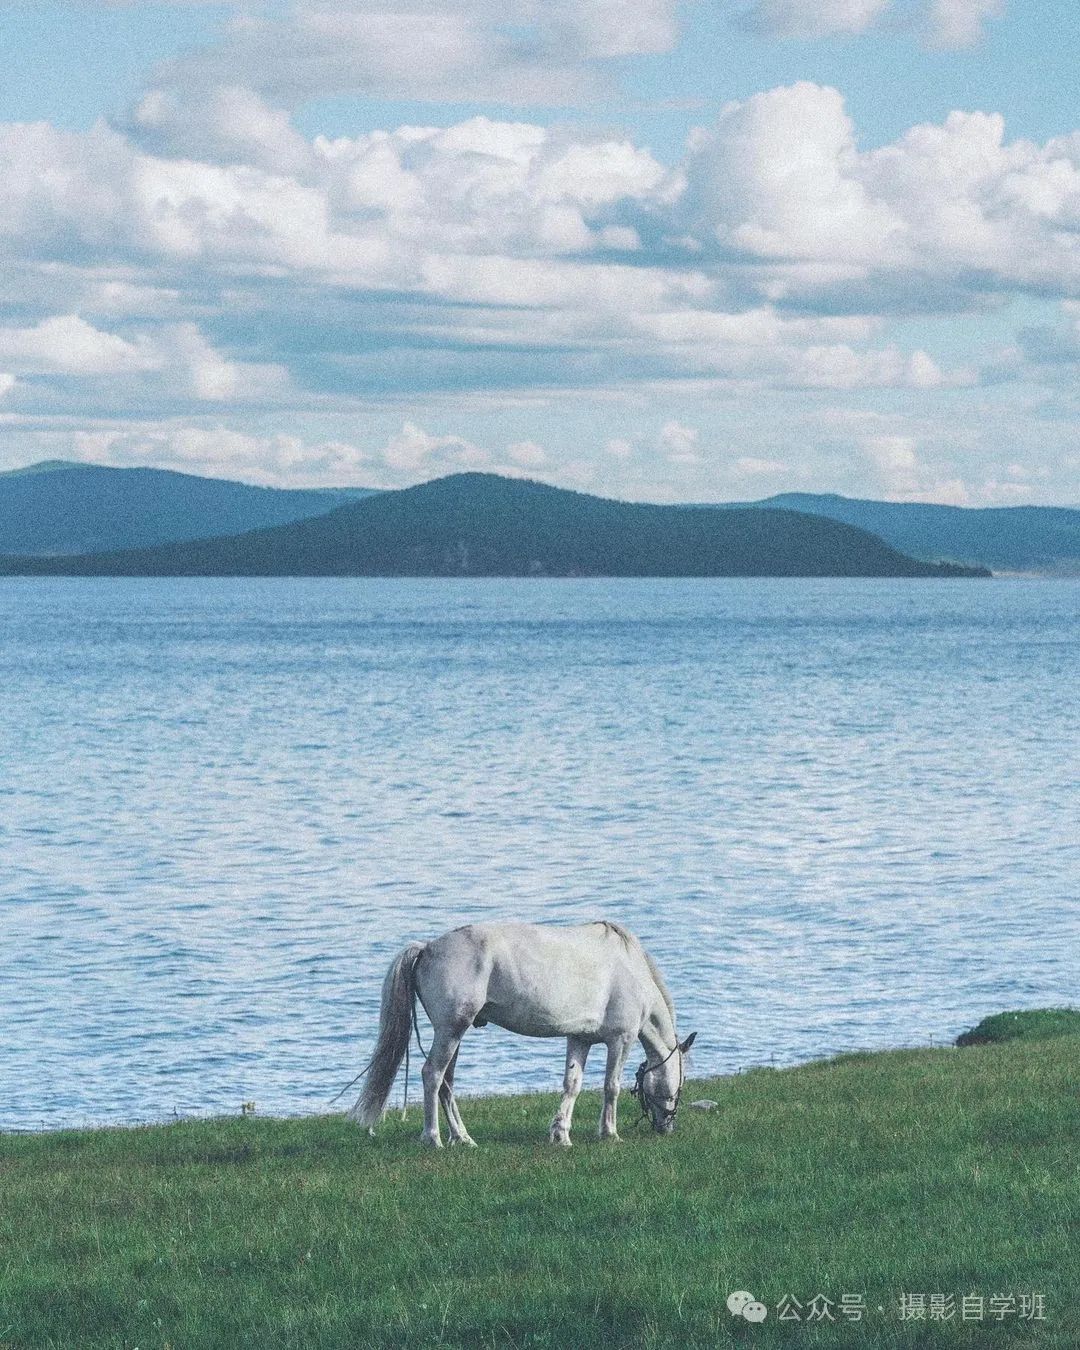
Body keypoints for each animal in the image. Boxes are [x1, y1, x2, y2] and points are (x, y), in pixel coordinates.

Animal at [351, 918, 696, 1150]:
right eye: (679, 1086)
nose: (667, 1126)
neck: (631, 969)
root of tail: (427, 948)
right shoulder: (620, 1040)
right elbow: (611, 1087)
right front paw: (609, 1133)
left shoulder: (579, 1039)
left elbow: (572, 1085)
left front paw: (561, 1134)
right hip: (450, 1031)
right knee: (432, 1075)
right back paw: (433, 1138)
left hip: (453, 1035)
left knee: (446, 1083)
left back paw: (462, 1137)